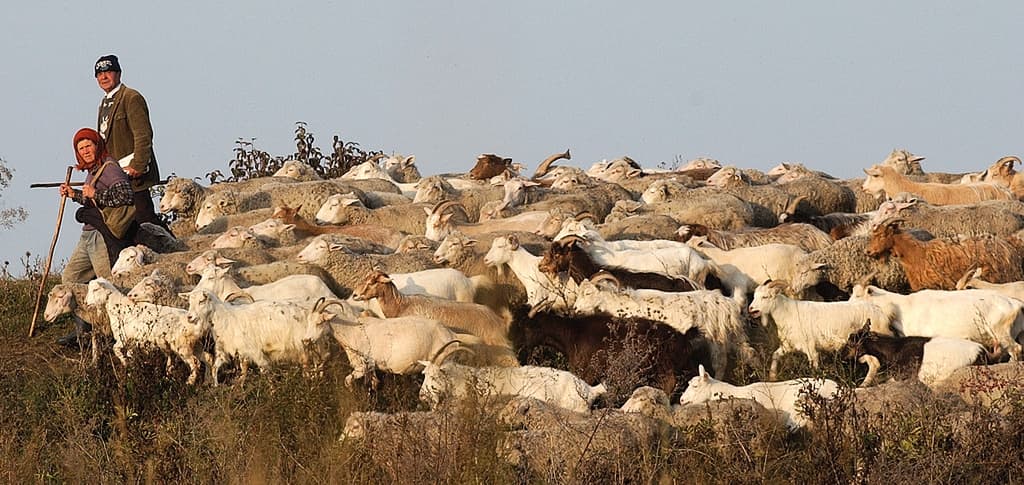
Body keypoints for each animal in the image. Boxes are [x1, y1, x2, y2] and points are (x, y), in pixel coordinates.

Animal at [572, 277, 754, 379]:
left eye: (588, 293)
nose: (575, 309)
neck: (620, 304)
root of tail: (729, 302)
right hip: (735, 334)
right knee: (750, 353)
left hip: (717, 339)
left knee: (720, 364)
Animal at [747, 280, 894, 379]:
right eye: (754, 296)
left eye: (765, 297)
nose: (751, 309)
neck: (788, 313)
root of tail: (881, 313)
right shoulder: (788, 346)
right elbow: (775, 355)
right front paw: (772, 378)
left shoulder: (811, 350)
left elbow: (814, 368)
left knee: (875, 364)